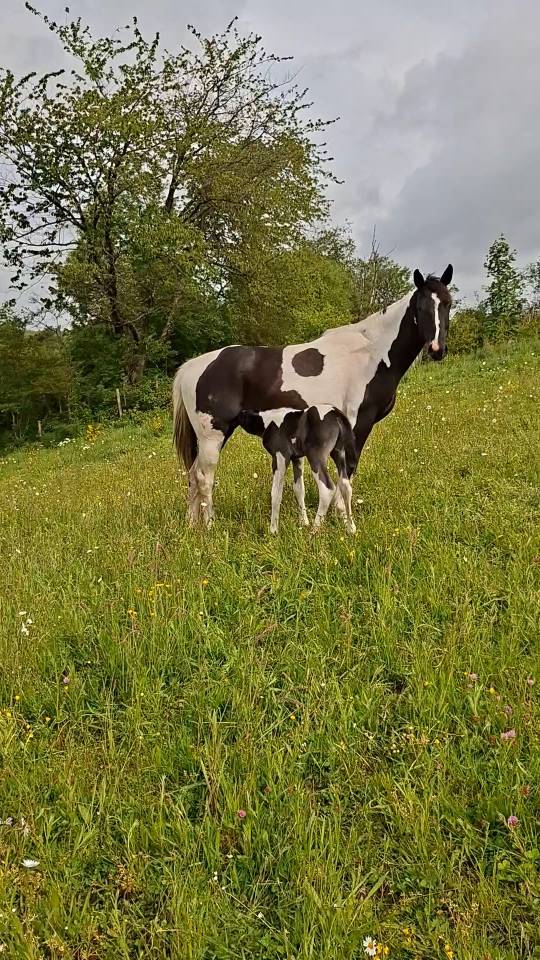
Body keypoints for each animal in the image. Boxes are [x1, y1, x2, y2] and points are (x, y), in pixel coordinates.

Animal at [236, 405, 358, 534]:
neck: (269, 421)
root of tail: (337, 414)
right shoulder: (297, 459)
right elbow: (299, 488)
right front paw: (303, 522)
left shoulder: (280, 455)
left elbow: (276, 493)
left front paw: (273, 530)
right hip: (339, 453)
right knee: (345, 485)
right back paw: (351, 528)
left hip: (316, 455)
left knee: (327, 488)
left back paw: (314, 530)